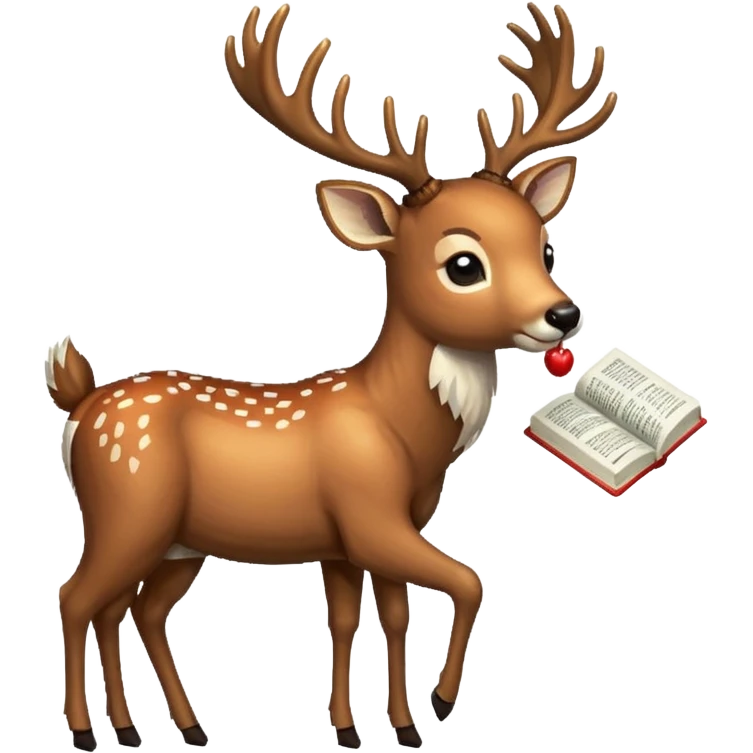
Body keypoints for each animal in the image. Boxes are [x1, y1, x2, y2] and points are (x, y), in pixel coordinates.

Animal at [50, 2, 617, 750]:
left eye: (544, 246)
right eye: (463, 264)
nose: (562, 314)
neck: (403, 432)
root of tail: (79, 401)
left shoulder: (361, 537)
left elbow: (375, 618)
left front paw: (380, 726)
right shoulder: (369, 515)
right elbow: (469, 581)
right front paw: (438, 702)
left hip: (174, 542)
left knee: (131, 610)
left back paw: (166, 726)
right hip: (126, 512)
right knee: (77, 596)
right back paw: (89, 730)